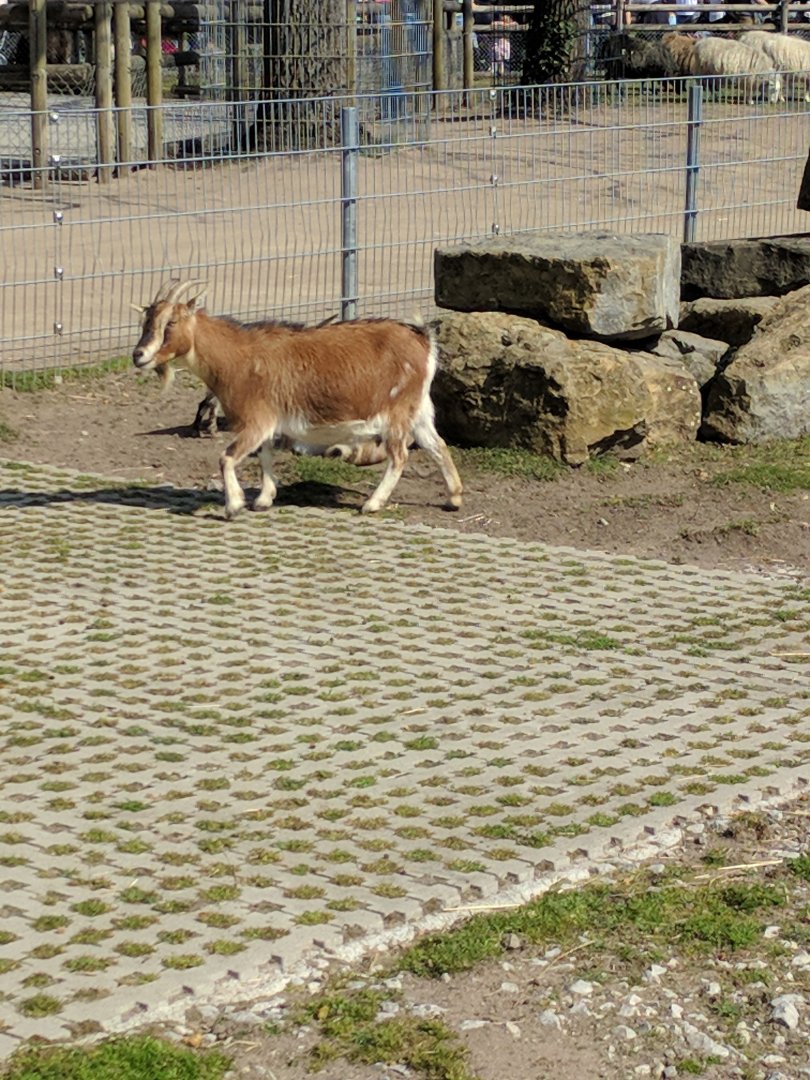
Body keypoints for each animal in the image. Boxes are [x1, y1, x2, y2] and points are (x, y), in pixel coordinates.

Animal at [131, 280, 463, 517]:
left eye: (170, 323)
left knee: (400, 455)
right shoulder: (267, 421)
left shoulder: (255, 419)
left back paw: (372, 504)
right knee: (437, 445)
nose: (139, 355)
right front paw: (263, 499)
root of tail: (422, 339)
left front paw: (234, 505)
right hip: (418, 409)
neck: (238, 357)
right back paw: (454, 497)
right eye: (146, 322)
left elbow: (227, 457)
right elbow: (264, 454)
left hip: (396, 412)